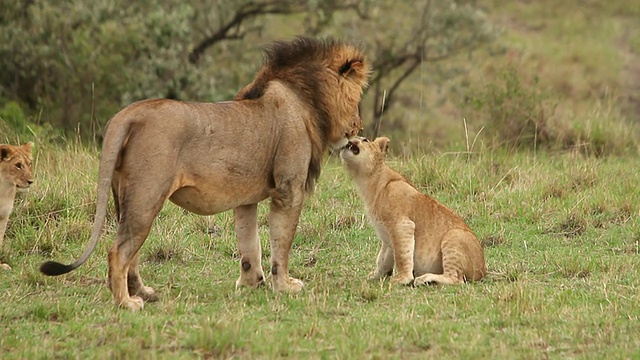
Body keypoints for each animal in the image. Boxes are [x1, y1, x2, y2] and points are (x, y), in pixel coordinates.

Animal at [40, 37, 370, 312]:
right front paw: (285, 286)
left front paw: (251, 283)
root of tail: (128, 114)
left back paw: (144, 293)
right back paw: (127, 303)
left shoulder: (246, 198)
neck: (306, 99)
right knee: (118, 252)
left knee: (130, 252)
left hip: (125, 197)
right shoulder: (288, 189)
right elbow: (281, 244)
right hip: (147, 195)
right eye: (356, 101)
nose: (359, 126)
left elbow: (249, 244)